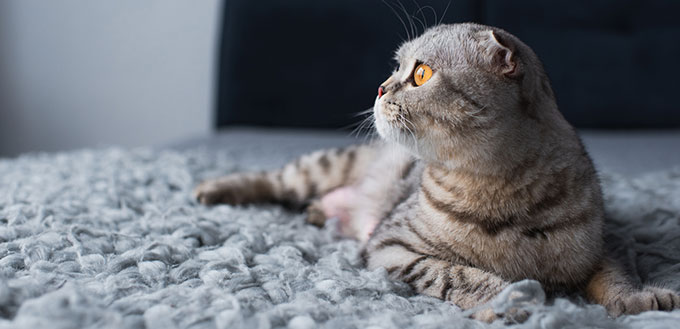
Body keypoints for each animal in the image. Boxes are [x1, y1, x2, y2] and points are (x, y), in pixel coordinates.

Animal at [193, 24, 680, 322]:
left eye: (421, 74)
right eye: (396, 67)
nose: (380, 87)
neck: (500, 189)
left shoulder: (604, 243)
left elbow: (617, 276)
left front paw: (641, 300)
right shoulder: (392, 246)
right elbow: (464, 275)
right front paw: (514, 299)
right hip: (325, 165)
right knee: (275, 179)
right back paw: (212, 189)